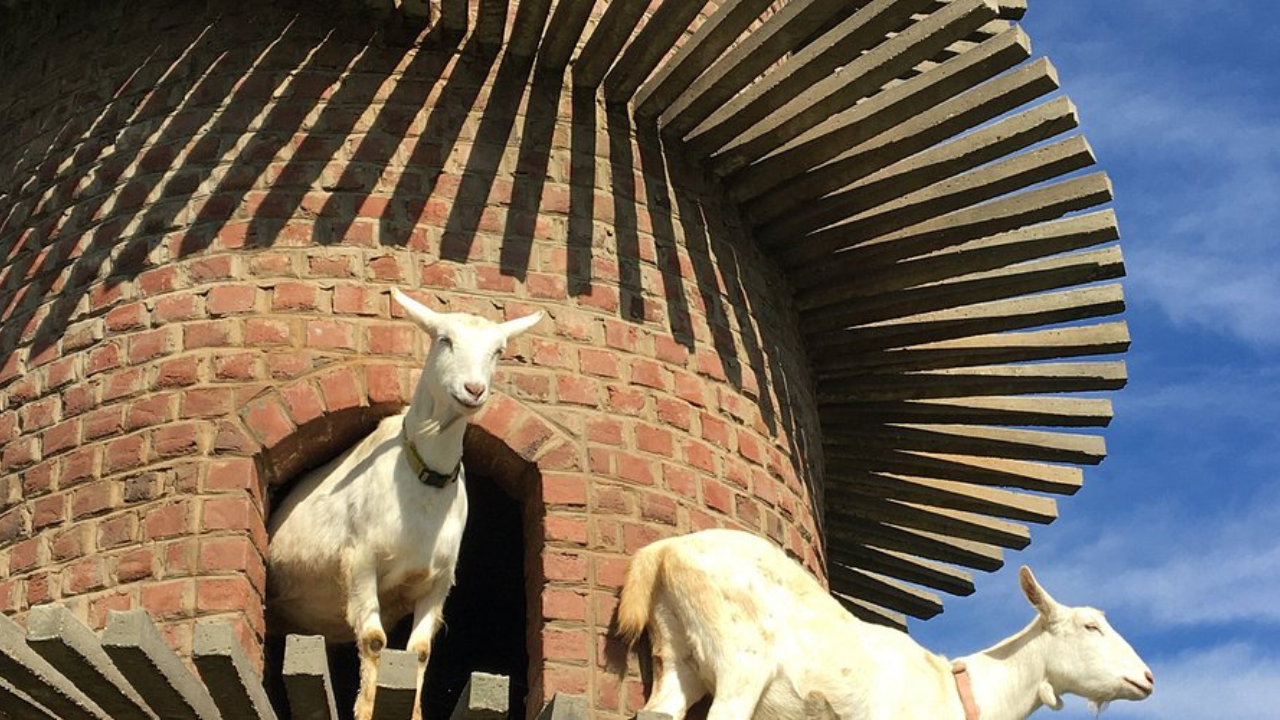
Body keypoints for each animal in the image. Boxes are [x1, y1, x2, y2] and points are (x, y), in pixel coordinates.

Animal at [266, 289, 541, 720]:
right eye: (444, 339)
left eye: (498, 350)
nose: (473, 389)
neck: (424, 478)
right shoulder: (361, 563)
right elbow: (375, 640)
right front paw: (364, 710)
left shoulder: (438, 582)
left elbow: (420, 651)